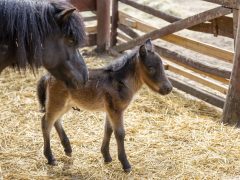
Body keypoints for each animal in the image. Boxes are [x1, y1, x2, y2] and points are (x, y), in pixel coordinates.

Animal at [37, 39, 172, 173]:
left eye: (162, 66)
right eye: (150, 67)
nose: (168, 88)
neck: (120, 82)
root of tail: (48, 76)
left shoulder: (110, 110)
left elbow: (108, 130)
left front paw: (106, 156)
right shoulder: (116, 110)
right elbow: (120, 133)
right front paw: (125, 164)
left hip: (66, 104)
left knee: (56, 120)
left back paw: (68, 149)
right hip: (57, 101)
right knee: (46, 122)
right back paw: (50, 158)